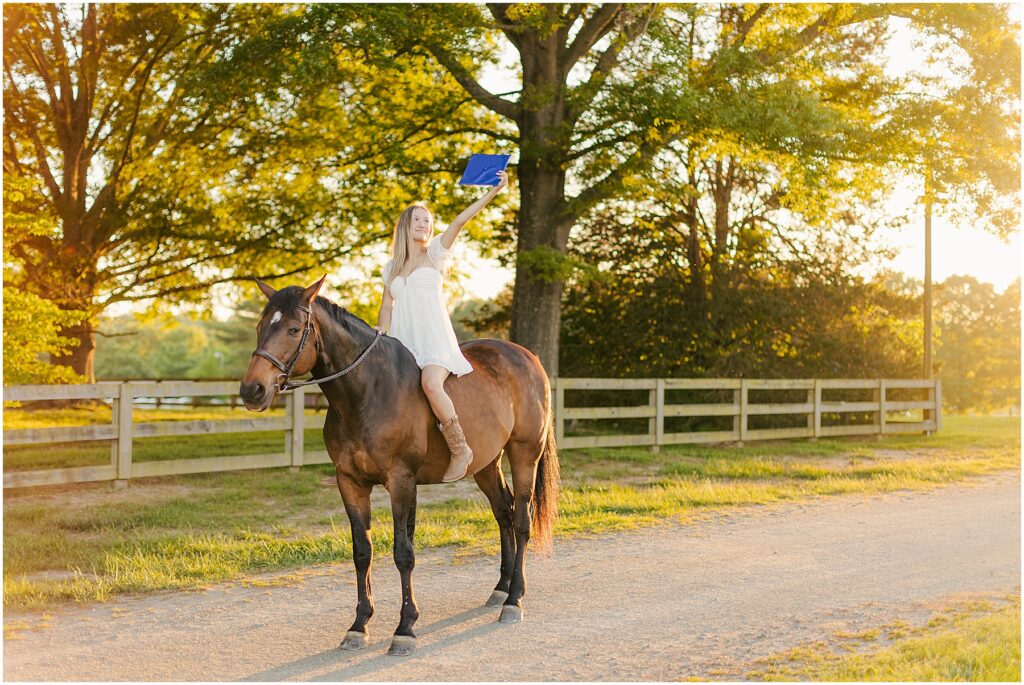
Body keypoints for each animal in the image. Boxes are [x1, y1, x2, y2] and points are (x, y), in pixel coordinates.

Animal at [238, 274, 561, 655]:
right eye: (260, 327)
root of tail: (528, 357)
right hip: (486, 465)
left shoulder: (400, 481)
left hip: (525, 453)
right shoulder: (349, 482)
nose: (252, 390)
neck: (368, 391)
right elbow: (362, 552)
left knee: (522, 520)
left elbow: (403, 552)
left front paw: (405, 627)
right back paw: (501, 588)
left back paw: (514, 599)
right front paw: (359, 625)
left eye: (292, 329)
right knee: (504, 513)